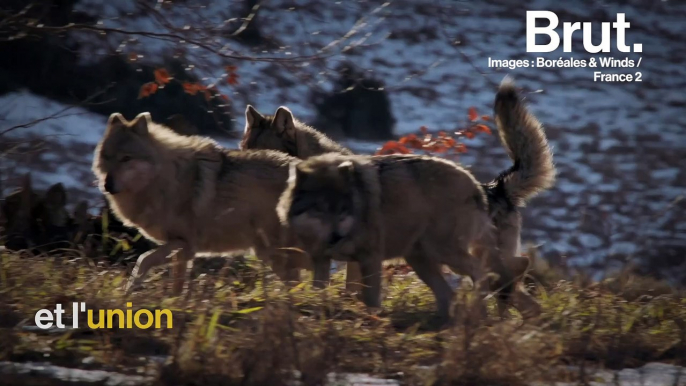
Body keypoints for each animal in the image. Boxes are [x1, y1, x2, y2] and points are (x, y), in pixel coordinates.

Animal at [92, 113, 308, 294]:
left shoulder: (183, 243)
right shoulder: (182, 250)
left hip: (272, 252)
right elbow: (174, 282)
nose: (107, 185)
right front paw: (173, 303)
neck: (163, 179)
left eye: (126, 158)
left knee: (295, 283)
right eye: (106, 157)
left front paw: (130, 292)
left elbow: (143, 259)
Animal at [276, 79, 556, 320]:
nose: (335, 237)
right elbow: (319, 289)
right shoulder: (322, 259)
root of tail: (484, 186)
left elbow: (369, 297)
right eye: (321, 210)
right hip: (426, 258)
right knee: (494, 284)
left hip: (447, 254)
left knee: (492, 275)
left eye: (341, 210)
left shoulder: (369, 258)